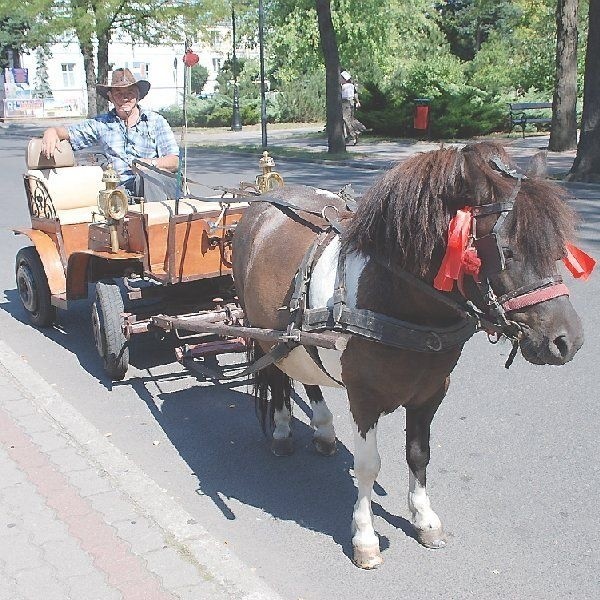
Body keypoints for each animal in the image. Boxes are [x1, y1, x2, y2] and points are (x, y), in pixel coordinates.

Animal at [231, 141, 584, 568]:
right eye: (508, 252)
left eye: (556, 247)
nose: (568, 341)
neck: (397, 297)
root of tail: (263, 200)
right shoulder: (364, 398)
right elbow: (368, 466)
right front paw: (365, 537)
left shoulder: (431, 392)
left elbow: (419, 455)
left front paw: (425, 519)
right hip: (260, 327)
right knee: (278, 375)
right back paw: (283, 429)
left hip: (298, 333)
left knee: (303, 369)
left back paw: (323, 429)